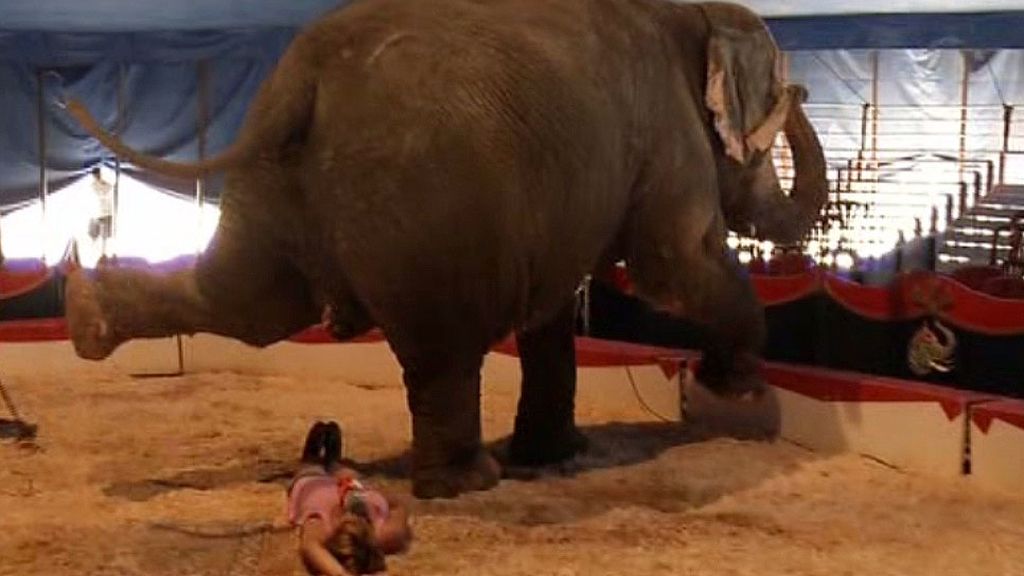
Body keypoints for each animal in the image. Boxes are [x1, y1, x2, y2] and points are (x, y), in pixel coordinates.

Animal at [62, 0, 827, 499]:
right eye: (772, 118)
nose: (802, 86)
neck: (690, 12)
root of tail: (305, 76)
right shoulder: (671, 137)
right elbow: (674, 266)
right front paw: (733, 388)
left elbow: (553, 312)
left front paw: (556, 455)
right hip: (427, 210)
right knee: (443, 351)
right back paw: (466, 482)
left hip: (275, 183)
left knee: (250, 305)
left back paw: (82, 311)